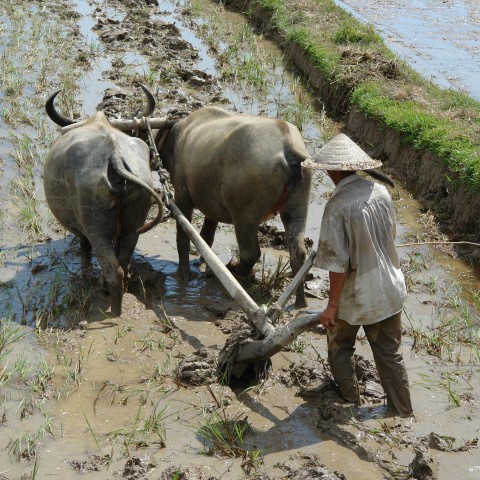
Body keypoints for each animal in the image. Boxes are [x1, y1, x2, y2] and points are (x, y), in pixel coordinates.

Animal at [45, 86, 165, 316]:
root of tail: (114, 156)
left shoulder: (82, 229)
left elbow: (84, 249)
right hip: (133, 222)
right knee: (124, 258)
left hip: (96, 225)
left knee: (113, 269)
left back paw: (113, 306)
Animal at [159, 105, 314, 308]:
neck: (181, 132)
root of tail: (289, 148)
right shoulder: (211, 208)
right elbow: (206, 237)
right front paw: (202, 260)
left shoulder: (182, 195)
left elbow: (184, 236)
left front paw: (183, 274)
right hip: (296, 209)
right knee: (298, 254)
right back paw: (300, 302)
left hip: (244, 217)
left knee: (250, 253)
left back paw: (233, 274)